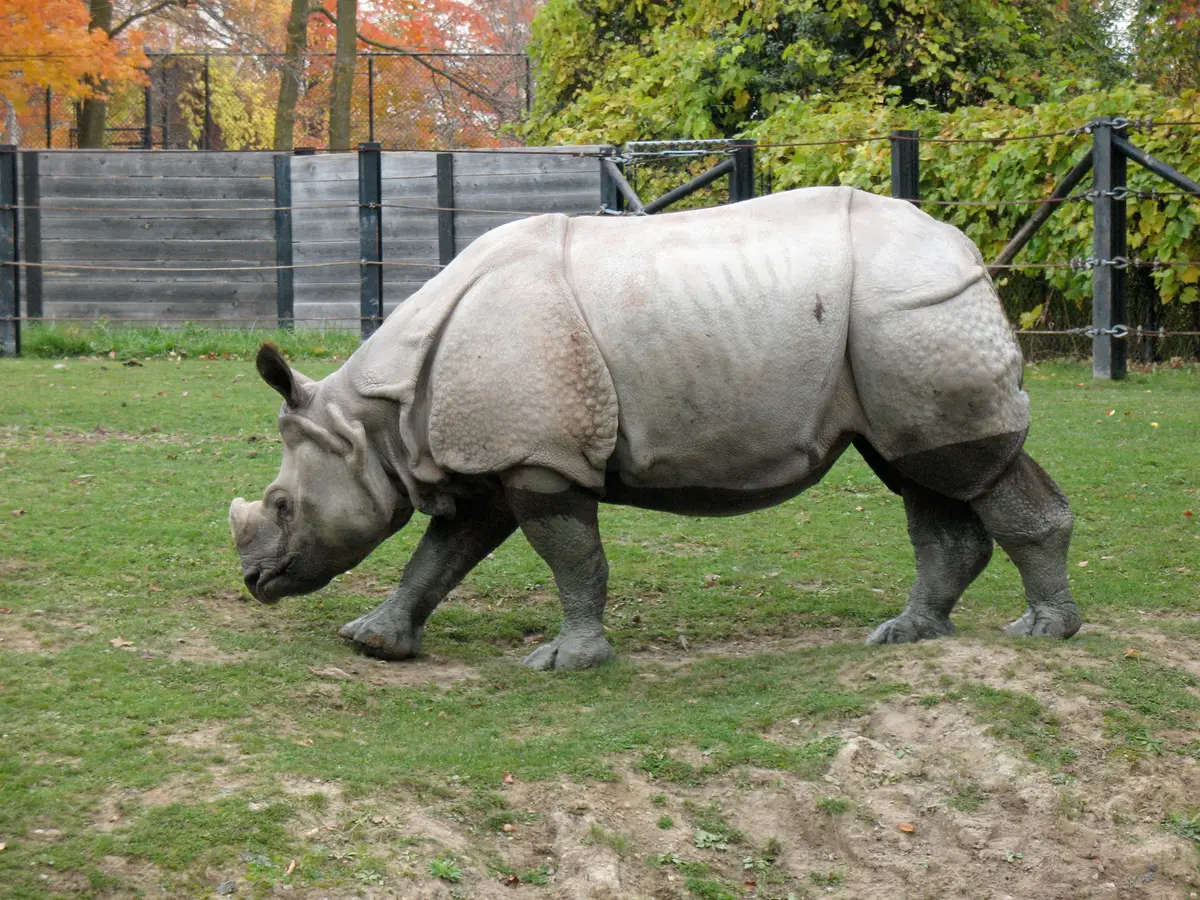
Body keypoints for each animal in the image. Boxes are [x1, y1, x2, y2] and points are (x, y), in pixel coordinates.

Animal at [229, 187, 1080, 670]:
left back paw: (1041, 635)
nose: (253, 583)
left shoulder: (538, 458)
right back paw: (907, 637)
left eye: (281, 505)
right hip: (895, 324)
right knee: (915, 470)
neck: (376, 421)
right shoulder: (499, 455)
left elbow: (571, 558)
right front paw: (372, 642)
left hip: (912, 308)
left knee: (958, 467)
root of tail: (963, 244)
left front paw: (566, 662)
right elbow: (440, 556)